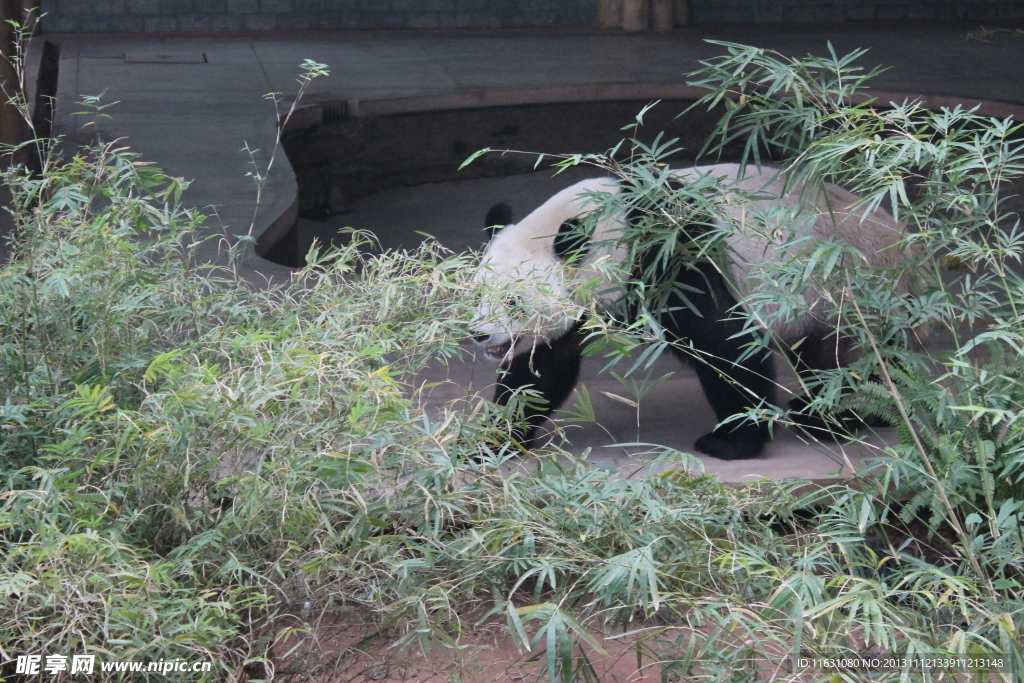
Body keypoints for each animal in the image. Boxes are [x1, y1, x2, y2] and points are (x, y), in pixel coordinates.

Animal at [471, 163, 921, 462]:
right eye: (476, 295)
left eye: (513, 301)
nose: (480, 335)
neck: (611, 225)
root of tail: (904, 240)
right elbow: (541, 370)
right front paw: (493, 438)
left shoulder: (672, 255)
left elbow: (723, 343)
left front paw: (731, 442)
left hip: (845, 286)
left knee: (849, 361)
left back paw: (830, 417)